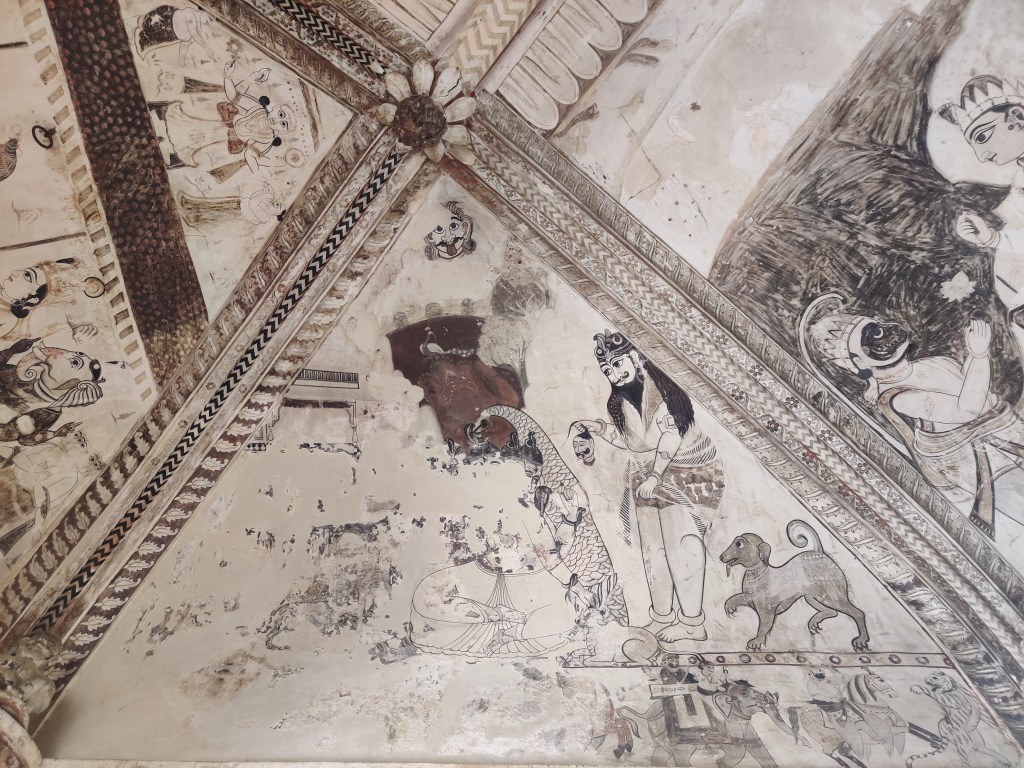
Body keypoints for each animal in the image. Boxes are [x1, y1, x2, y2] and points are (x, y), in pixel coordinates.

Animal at [720, 519, 869, 651]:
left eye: (739, 544)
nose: (721, 556)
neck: (758, 574)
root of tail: (819, 553)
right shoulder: (748, 597)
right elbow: (735, 598)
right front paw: (730, 606)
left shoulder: (767, 612)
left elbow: (763, 627)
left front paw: (756, 642)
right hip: (812, 597)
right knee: (833, 612)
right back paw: (816, 619)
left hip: (831, 596)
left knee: (858, 613)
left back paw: (861, 639)